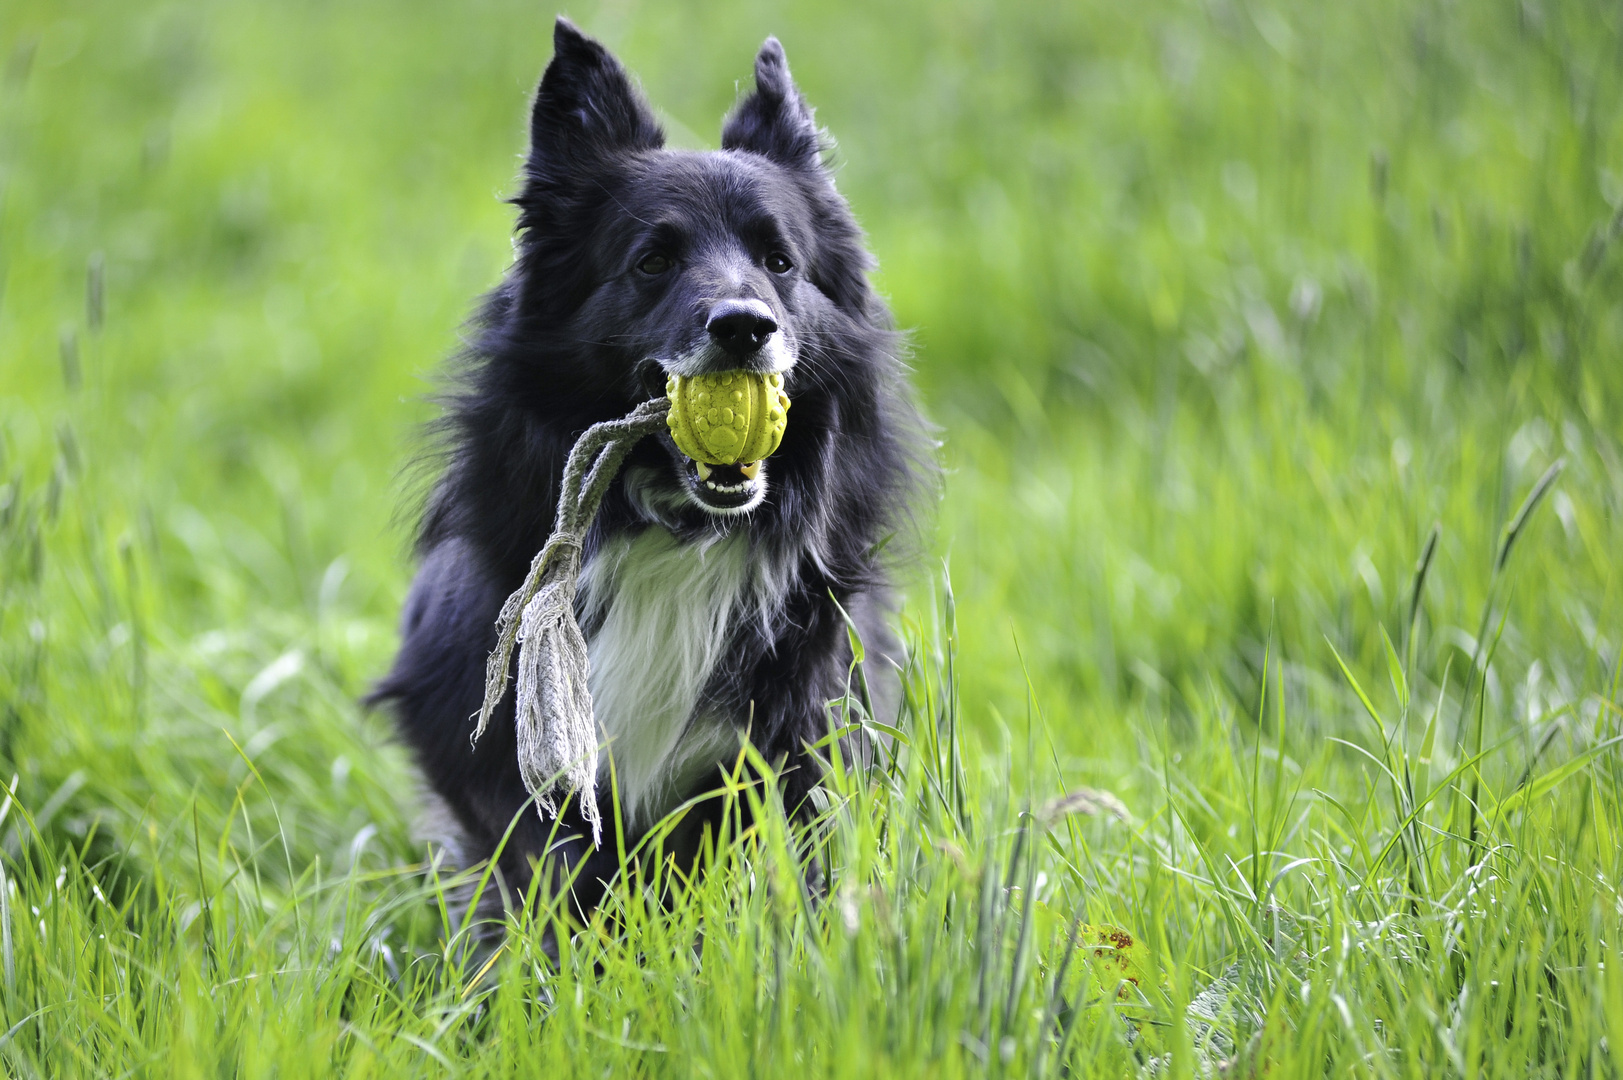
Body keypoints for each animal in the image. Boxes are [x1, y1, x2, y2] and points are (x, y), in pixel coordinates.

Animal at [368, 16, 928, 915]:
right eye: (652, 261)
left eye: (779, 261)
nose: (744, 326)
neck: (675, 531)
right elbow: (536, 882)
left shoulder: (796, 738)